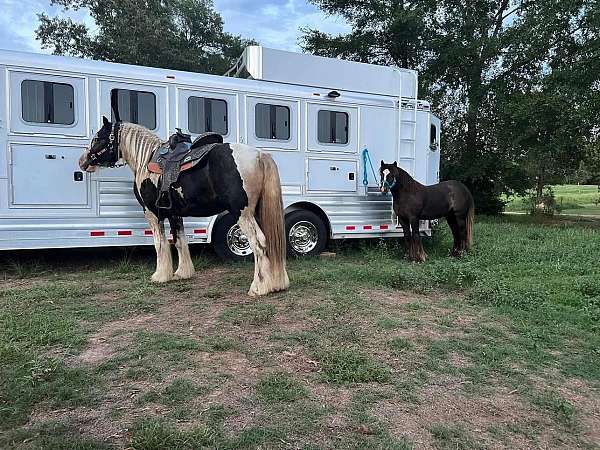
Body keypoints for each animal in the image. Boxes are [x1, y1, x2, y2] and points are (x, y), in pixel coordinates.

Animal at [78, 118, 290, 298]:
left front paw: (160, 275)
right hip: (256, 212)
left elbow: (160, 244)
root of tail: (259, 155)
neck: (146, 161)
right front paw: (182, 273)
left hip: (242, 214)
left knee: (259, 243)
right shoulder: (175, 214)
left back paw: (259, 287)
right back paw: (275, 284)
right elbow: (179, 241)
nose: (82, 161)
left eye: (98, 137)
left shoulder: (152, 214)